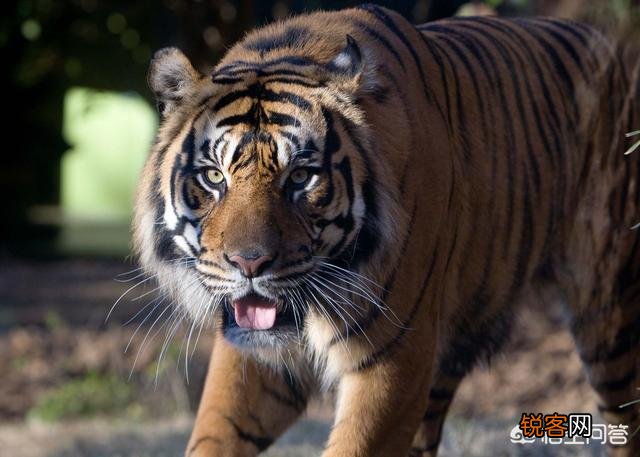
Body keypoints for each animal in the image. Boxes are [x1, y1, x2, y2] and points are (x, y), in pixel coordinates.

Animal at [132, 4, 640, 456]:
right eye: (213, 177)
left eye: (301, 177)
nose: (249, 263)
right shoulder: (253, 353)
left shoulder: (394, 358)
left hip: (609, 312)